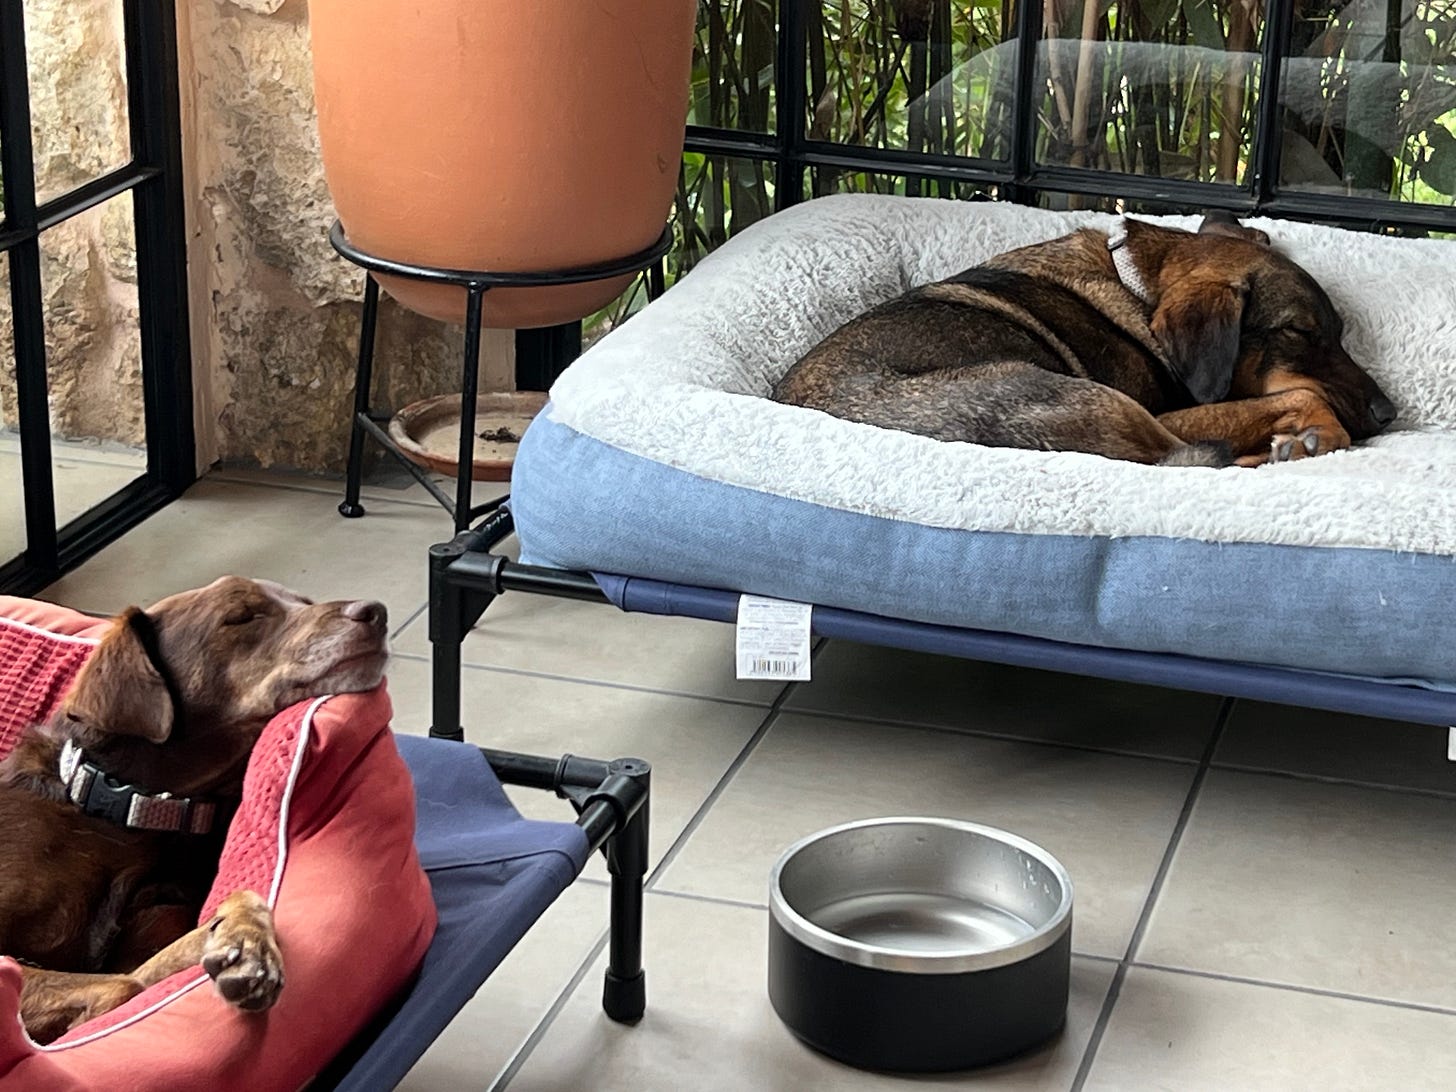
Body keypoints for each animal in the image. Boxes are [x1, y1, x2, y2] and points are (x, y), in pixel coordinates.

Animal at [0, 576, 390, 1048]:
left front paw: (245, 942)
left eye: (305, 602)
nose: (376, 612)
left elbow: (152, 966)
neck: (138, 811)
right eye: (241, 616)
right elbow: (120, 986)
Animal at [774, 212, 1397, 465]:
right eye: (1301, 334)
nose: (1390, 413)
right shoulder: (1165, 411)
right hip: (1096, 401)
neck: (1139, 287)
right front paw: (1318, 433)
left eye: (1342, 334)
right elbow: (1305, 392)